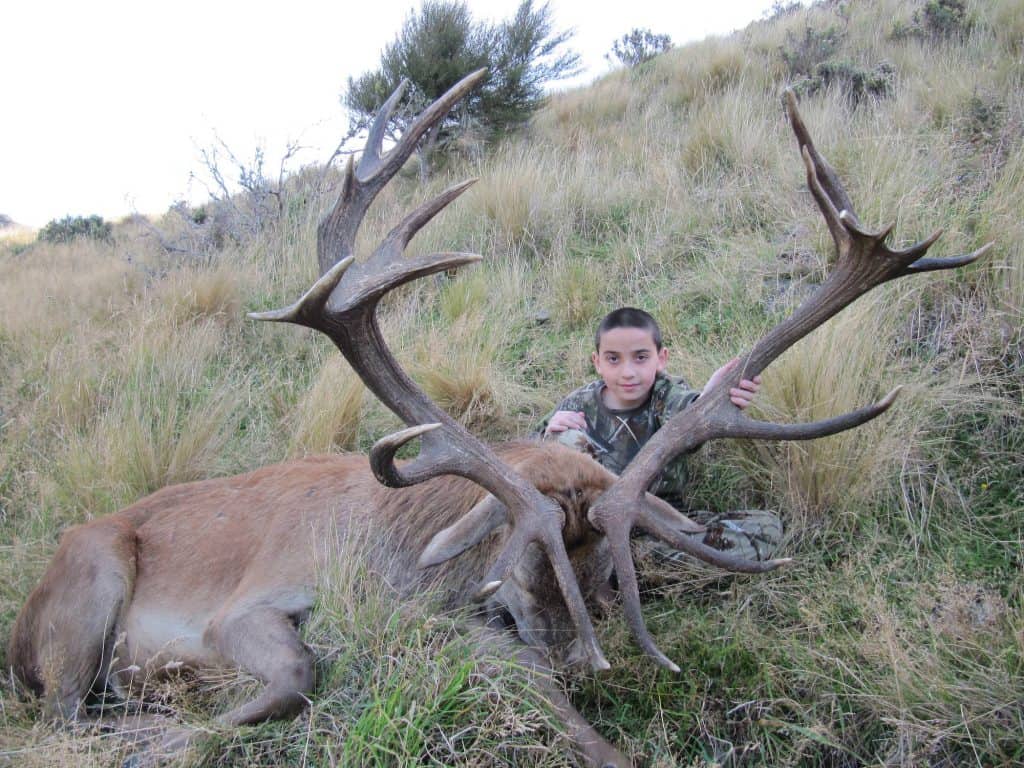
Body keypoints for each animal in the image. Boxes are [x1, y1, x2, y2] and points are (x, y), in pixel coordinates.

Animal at [8, 69, 989, 767]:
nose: (569, 658)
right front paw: (178, 732)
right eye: (515, 568)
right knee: (60, 714)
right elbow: (300, 667)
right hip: (87, 579)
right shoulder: (249, 605)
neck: (403, 553)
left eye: (610, 576)